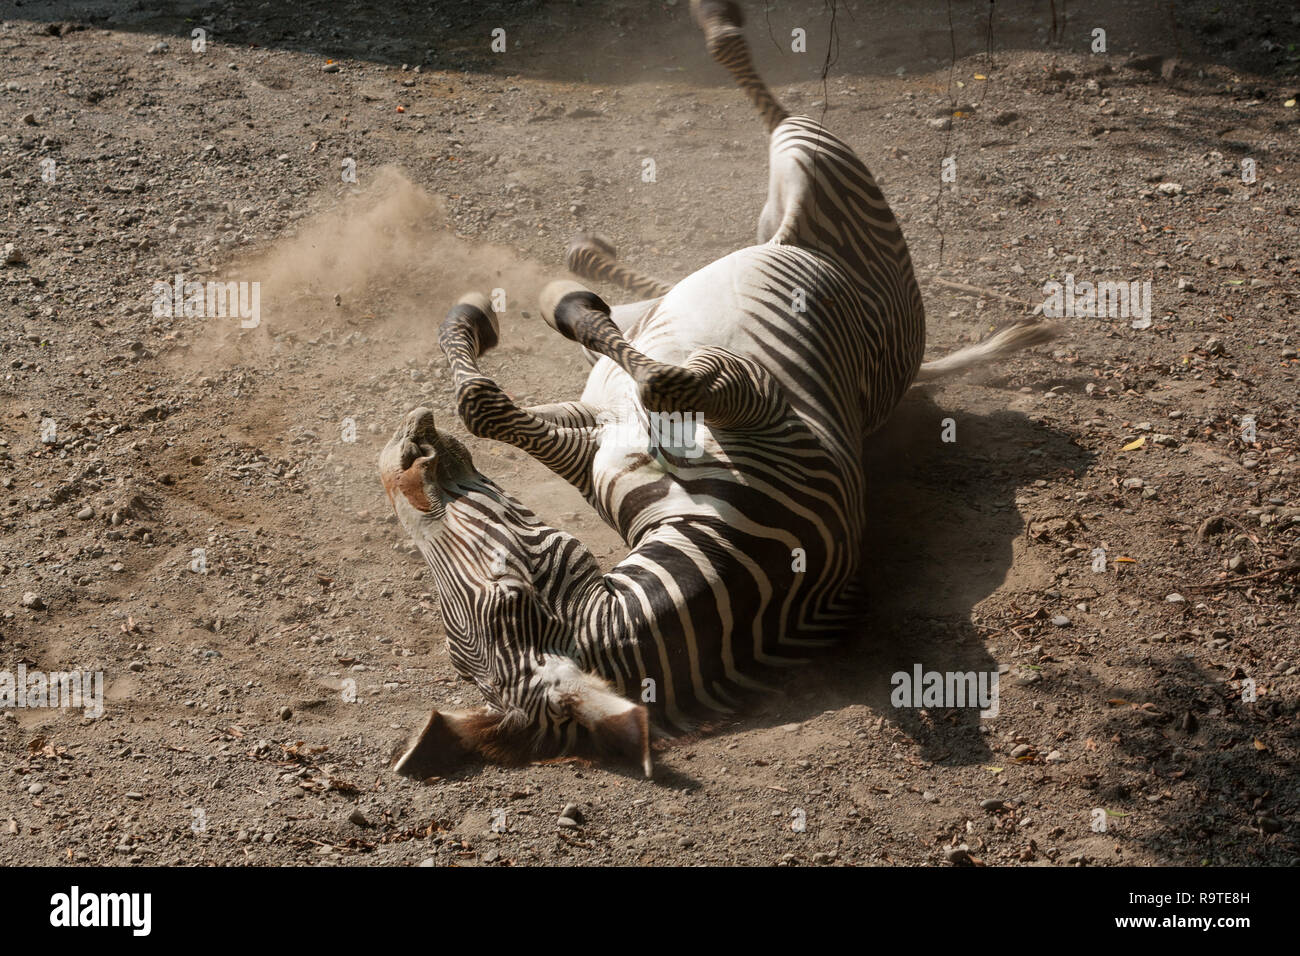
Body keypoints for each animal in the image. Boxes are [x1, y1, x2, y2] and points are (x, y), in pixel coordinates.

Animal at [379, 0, 1055, 780]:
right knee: (722, 231)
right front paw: (522, 319)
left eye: (506, 596)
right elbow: (530, 402)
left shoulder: (740, 406)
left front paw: (531, 313)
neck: (725, 553)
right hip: (791, 203)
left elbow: (611, 386)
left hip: (809, 166)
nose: (404, 452)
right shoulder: (617, 433)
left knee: (775, 129)